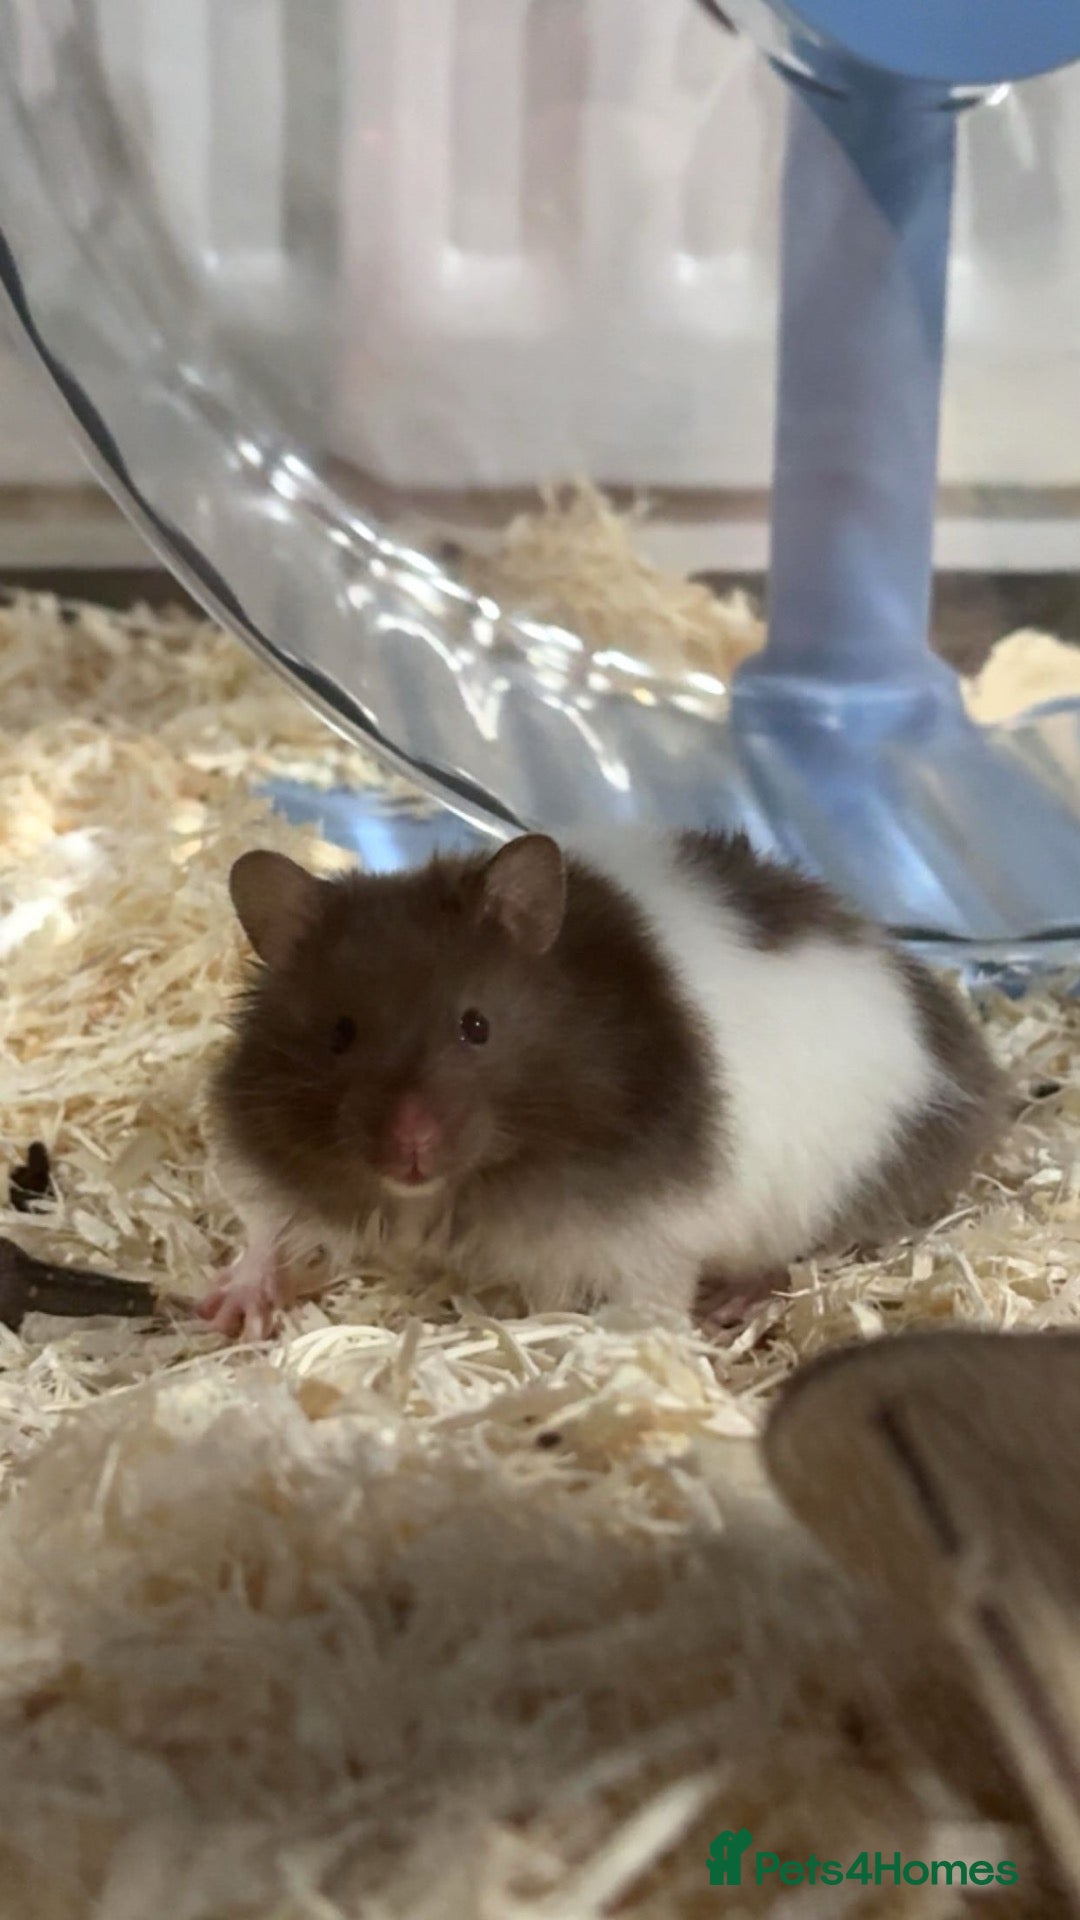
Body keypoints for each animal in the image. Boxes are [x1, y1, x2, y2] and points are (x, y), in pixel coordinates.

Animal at [198, 829, 1007, 1338]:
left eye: (476, 1026)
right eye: (339, 1034)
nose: (410, 1149)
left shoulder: (653, 1221)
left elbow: (653, 1291)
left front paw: (638, 1351)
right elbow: (263, 1230)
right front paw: (229, 1311)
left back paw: (731, 1304)